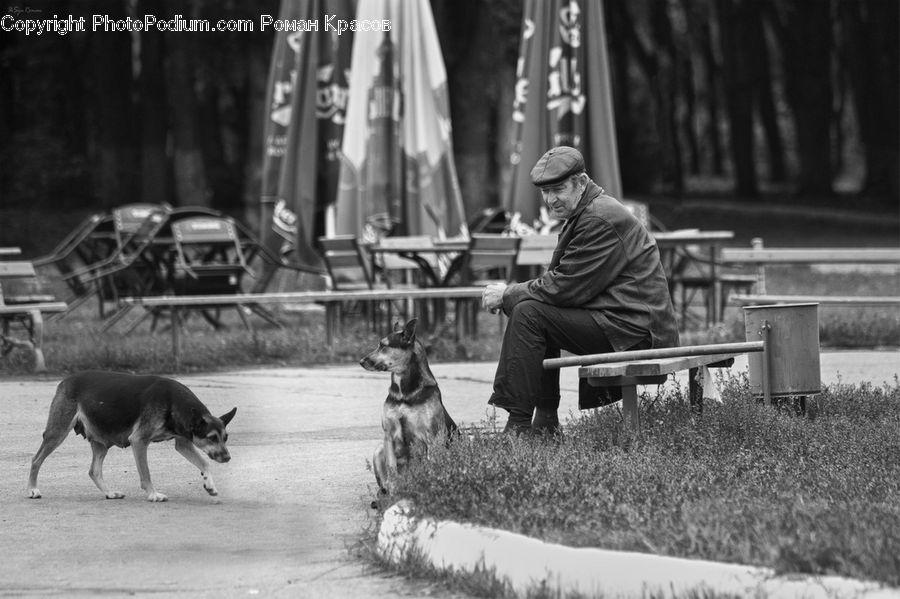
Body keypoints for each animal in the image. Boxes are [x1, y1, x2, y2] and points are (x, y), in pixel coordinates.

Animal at [29, 370, 236, 502]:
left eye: (225, 438)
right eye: (211, 437)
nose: (227, 458)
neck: (172, 402)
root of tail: (65, 380)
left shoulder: (183, 443)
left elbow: (205, 463)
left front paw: (209, 485)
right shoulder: (139, 441)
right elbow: (146, 473)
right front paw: (153, 494)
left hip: (101, 442)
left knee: (94, 471)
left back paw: (110, 493)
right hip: (58, 432)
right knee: (36, 460)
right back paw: (32, 489)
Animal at [358, 322, 458, 494]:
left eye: (383, 345)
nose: (361, 361)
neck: (403, 393)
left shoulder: (433, 437)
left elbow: (433, 466)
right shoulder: (389, 435)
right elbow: (391, 469)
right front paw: (394, 489)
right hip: (379, 449)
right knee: (384, 482)